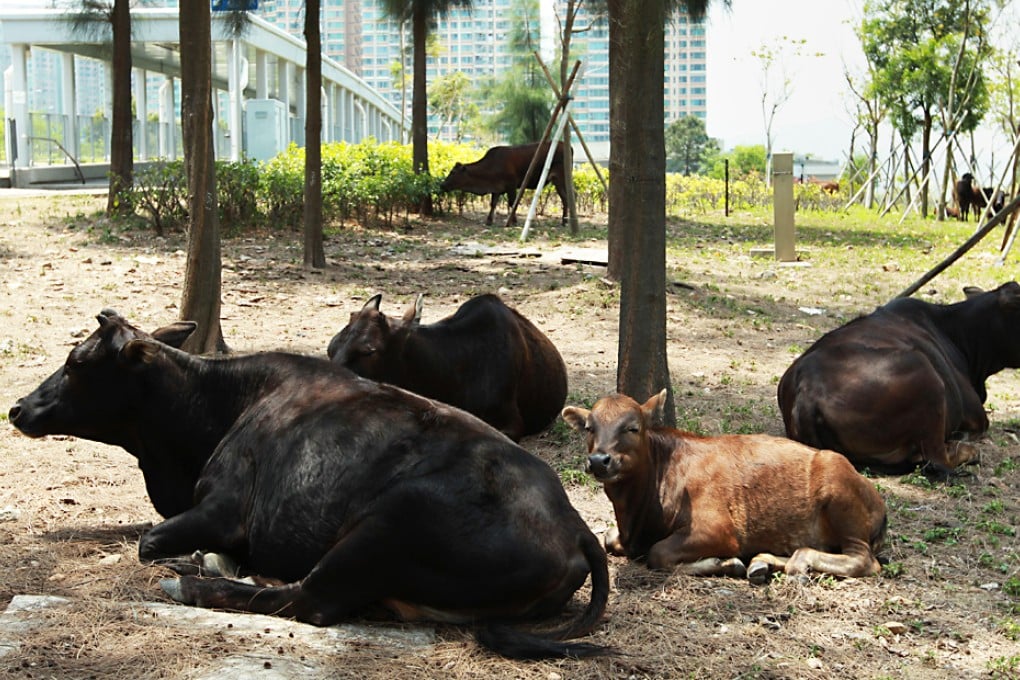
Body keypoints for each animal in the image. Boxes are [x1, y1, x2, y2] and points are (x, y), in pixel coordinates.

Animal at [9, 310, 610, 659]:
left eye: (77, 361)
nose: (16, 408)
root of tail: (575, 525)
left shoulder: (224, 508)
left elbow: (148, 541)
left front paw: (201, 561)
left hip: (386, 524)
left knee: (308, 599)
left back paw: (194, 584)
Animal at [440, 141, 568, 226]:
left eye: (453, 172)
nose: (442, 185)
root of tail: (564, 144)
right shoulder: (496, 188)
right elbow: (493, 204)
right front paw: (489, 221)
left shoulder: (511, 185)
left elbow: (512, 203)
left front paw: (513, 221)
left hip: (559, 178)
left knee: (565, 198)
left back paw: (565, 220)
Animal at [561, 390, 886, 583]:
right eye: (589, 427)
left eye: (633, 427)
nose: (599, 460)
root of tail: (879, 505)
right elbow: (608, 538)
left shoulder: (718, 528)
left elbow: (658, 553)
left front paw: (725, 562)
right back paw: (763, 563)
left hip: (840, 495)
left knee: (864, 560)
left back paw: (794, 564)